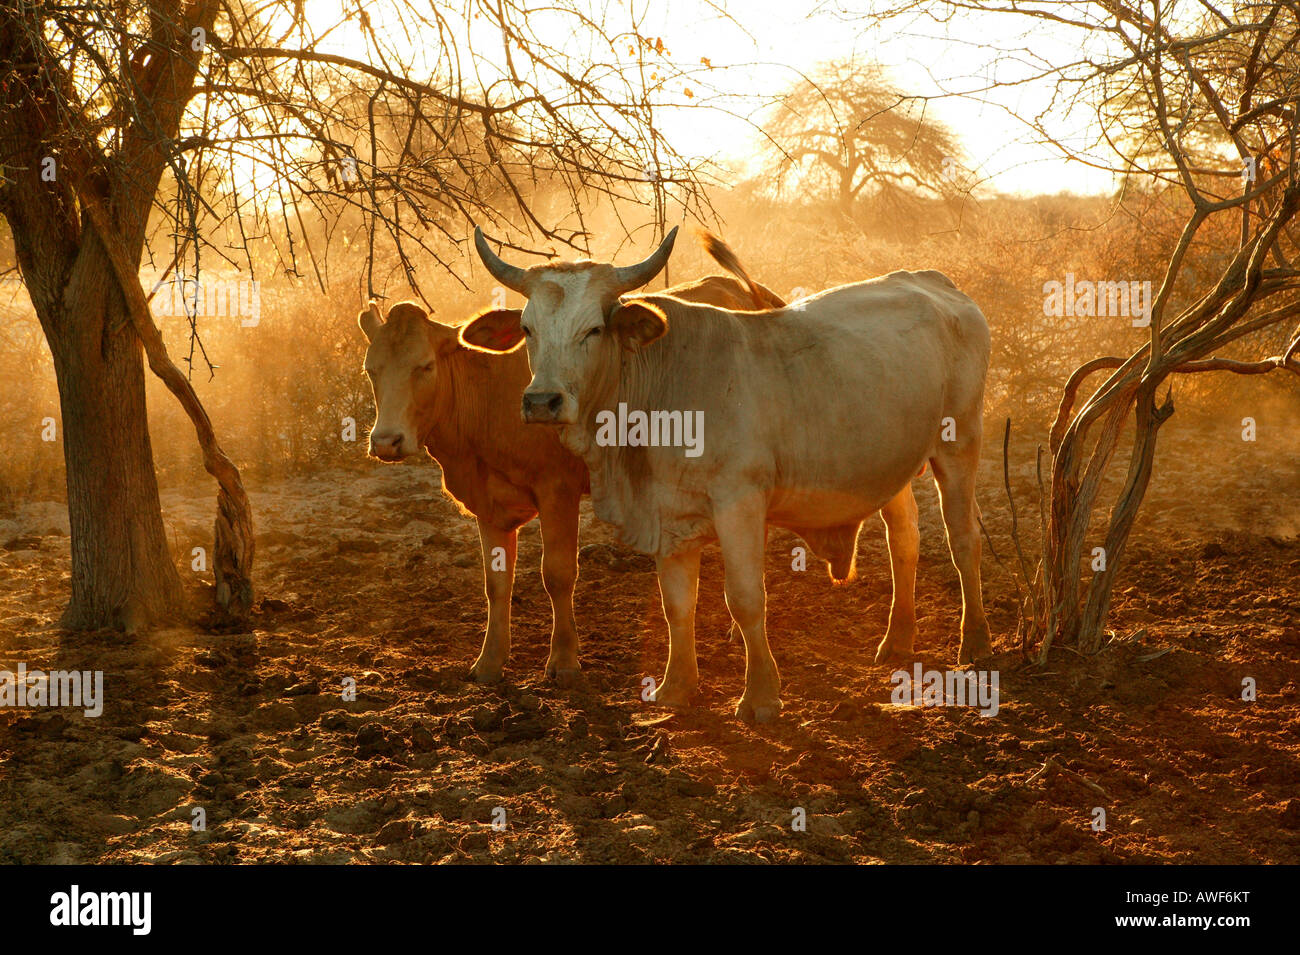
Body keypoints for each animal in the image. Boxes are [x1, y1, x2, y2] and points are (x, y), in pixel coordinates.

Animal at [358, 231, 780, 686]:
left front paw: (562, 659)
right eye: (370, 370)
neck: (489, 394)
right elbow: (496, 583)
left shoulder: (557, 491)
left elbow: (558, 575)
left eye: (425, 366)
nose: (386, 441)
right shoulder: (489, 505)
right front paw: (490, 660)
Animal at [462, 227, 987, 722]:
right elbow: (677, 604)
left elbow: (745, 598)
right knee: (905, 539)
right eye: (528, 328)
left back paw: (975, 642)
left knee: (963, 540)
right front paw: (676, 688)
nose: (541, 401)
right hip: (889, 466)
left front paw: (760, 697)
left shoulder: (739, 503)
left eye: (593, 329)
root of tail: (932, 282)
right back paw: (897, 639)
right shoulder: (667, 513)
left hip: (958, 444)